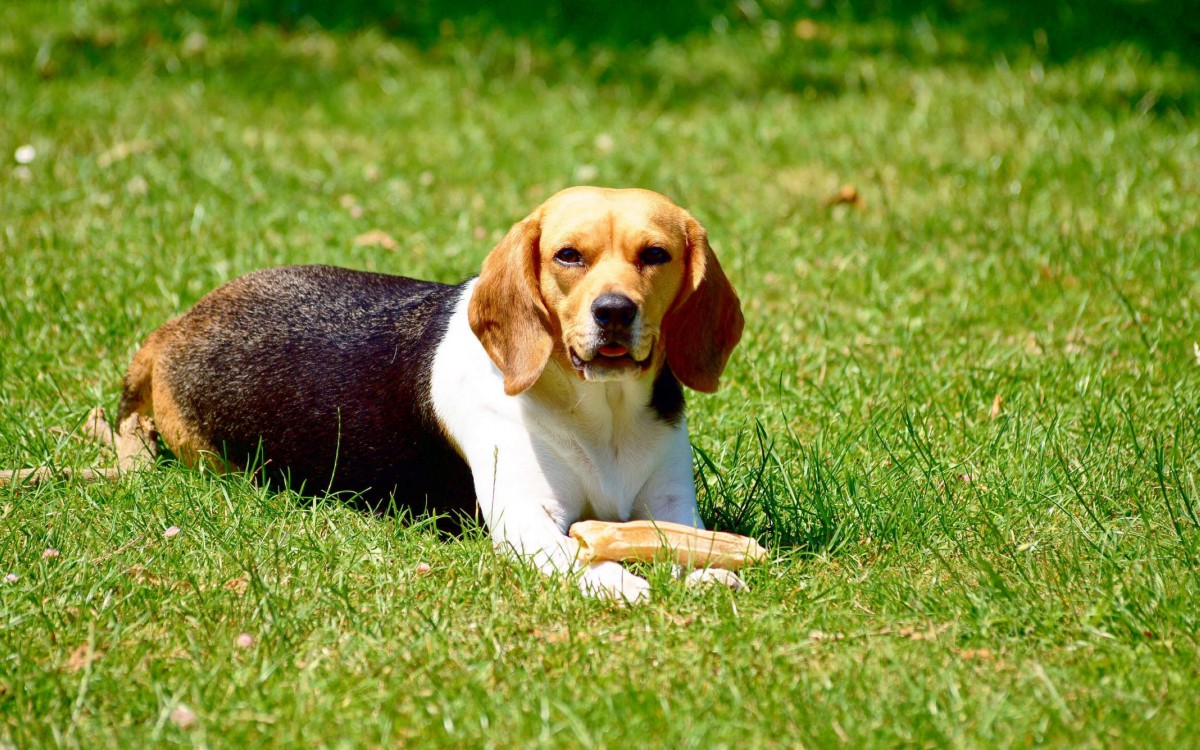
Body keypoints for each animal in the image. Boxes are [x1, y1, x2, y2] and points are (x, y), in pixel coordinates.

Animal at [4, 187, 744, 602]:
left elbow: (682, 540)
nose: (614, 311)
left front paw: (705, 576)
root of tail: (170, 330)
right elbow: (582, 555)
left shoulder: (671, 507)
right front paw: (618, 582)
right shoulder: (526, 522)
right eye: (569, 256)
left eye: (655, 254)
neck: (601, 415)